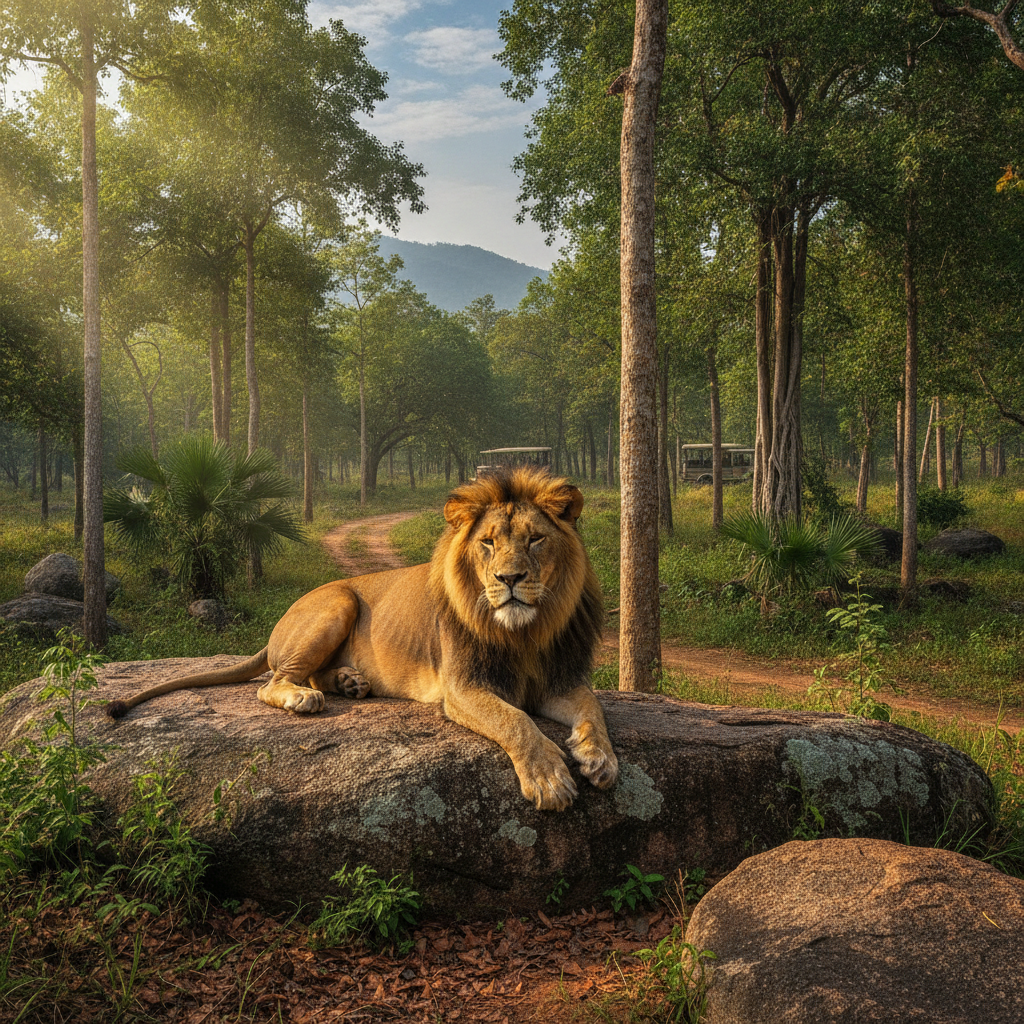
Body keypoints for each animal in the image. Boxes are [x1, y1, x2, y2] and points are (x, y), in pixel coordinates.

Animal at [107, 467, 618, 811]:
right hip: (338, 602)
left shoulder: (559, 679)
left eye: (534, 540)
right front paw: (549, 778)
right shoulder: (462, 688)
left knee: (310, 674)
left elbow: (592, 706)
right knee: (272, 681)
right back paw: (304, 698)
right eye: (488, 542)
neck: (525, 632)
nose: (509, 579)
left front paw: (599, 758)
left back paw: (349, 683)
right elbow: (516, 721)